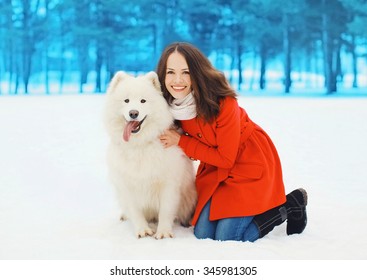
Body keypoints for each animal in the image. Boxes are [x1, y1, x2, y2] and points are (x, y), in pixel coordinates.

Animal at [103, 70, 198, 238]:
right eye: (126, 100)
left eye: (143, 101)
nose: (133, 113)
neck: (139, 145)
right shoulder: (127, 185)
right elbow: (135, 211)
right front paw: (143, 230)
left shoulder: (168, 184)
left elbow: (166, 210)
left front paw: (163, 232)